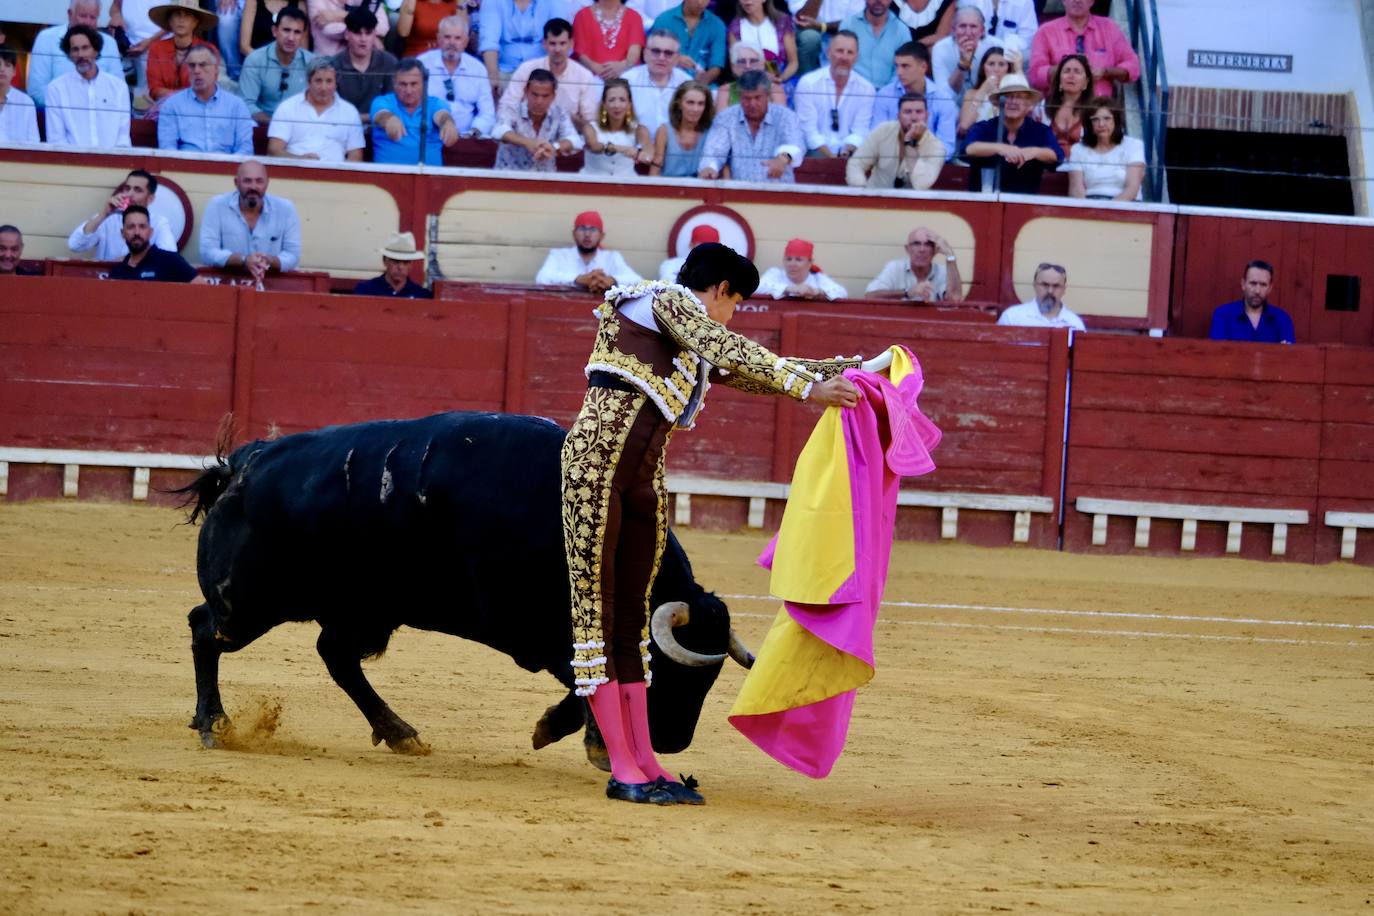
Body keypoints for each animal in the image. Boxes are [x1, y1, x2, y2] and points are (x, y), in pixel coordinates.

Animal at [181, 411, 752, 763]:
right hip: (247, 603)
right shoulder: (529, 626)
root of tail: (244, 464)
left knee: (336, 657)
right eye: (680, 676)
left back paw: (401, 734)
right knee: (205, 629)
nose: (673, 742)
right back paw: (215, 724)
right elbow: (585, 679)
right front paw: (585, 741)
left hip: (360, 609)